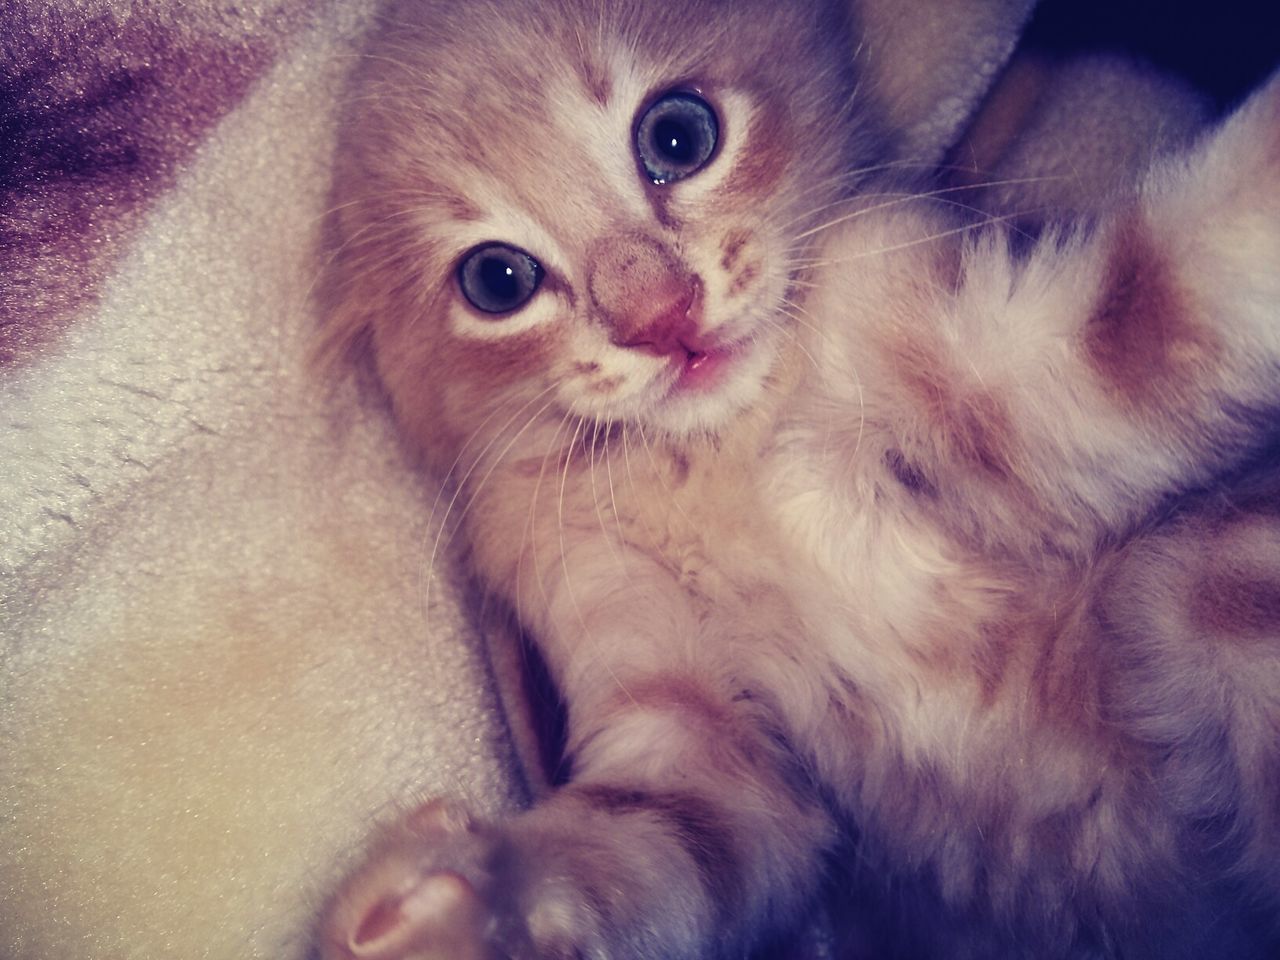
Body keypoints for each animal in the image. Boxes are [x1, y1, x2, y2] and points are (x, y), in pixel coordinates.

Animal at [312, 3, 1280, 957]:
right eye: (497, 279)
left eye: (677, 135)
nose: (661, 318)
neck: (717, 455)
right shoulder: (685, 717)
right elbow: (661, 825)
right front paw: (466, 910)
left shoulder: (1020, 371)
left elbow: (1175, 282)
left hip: (1200, 571)